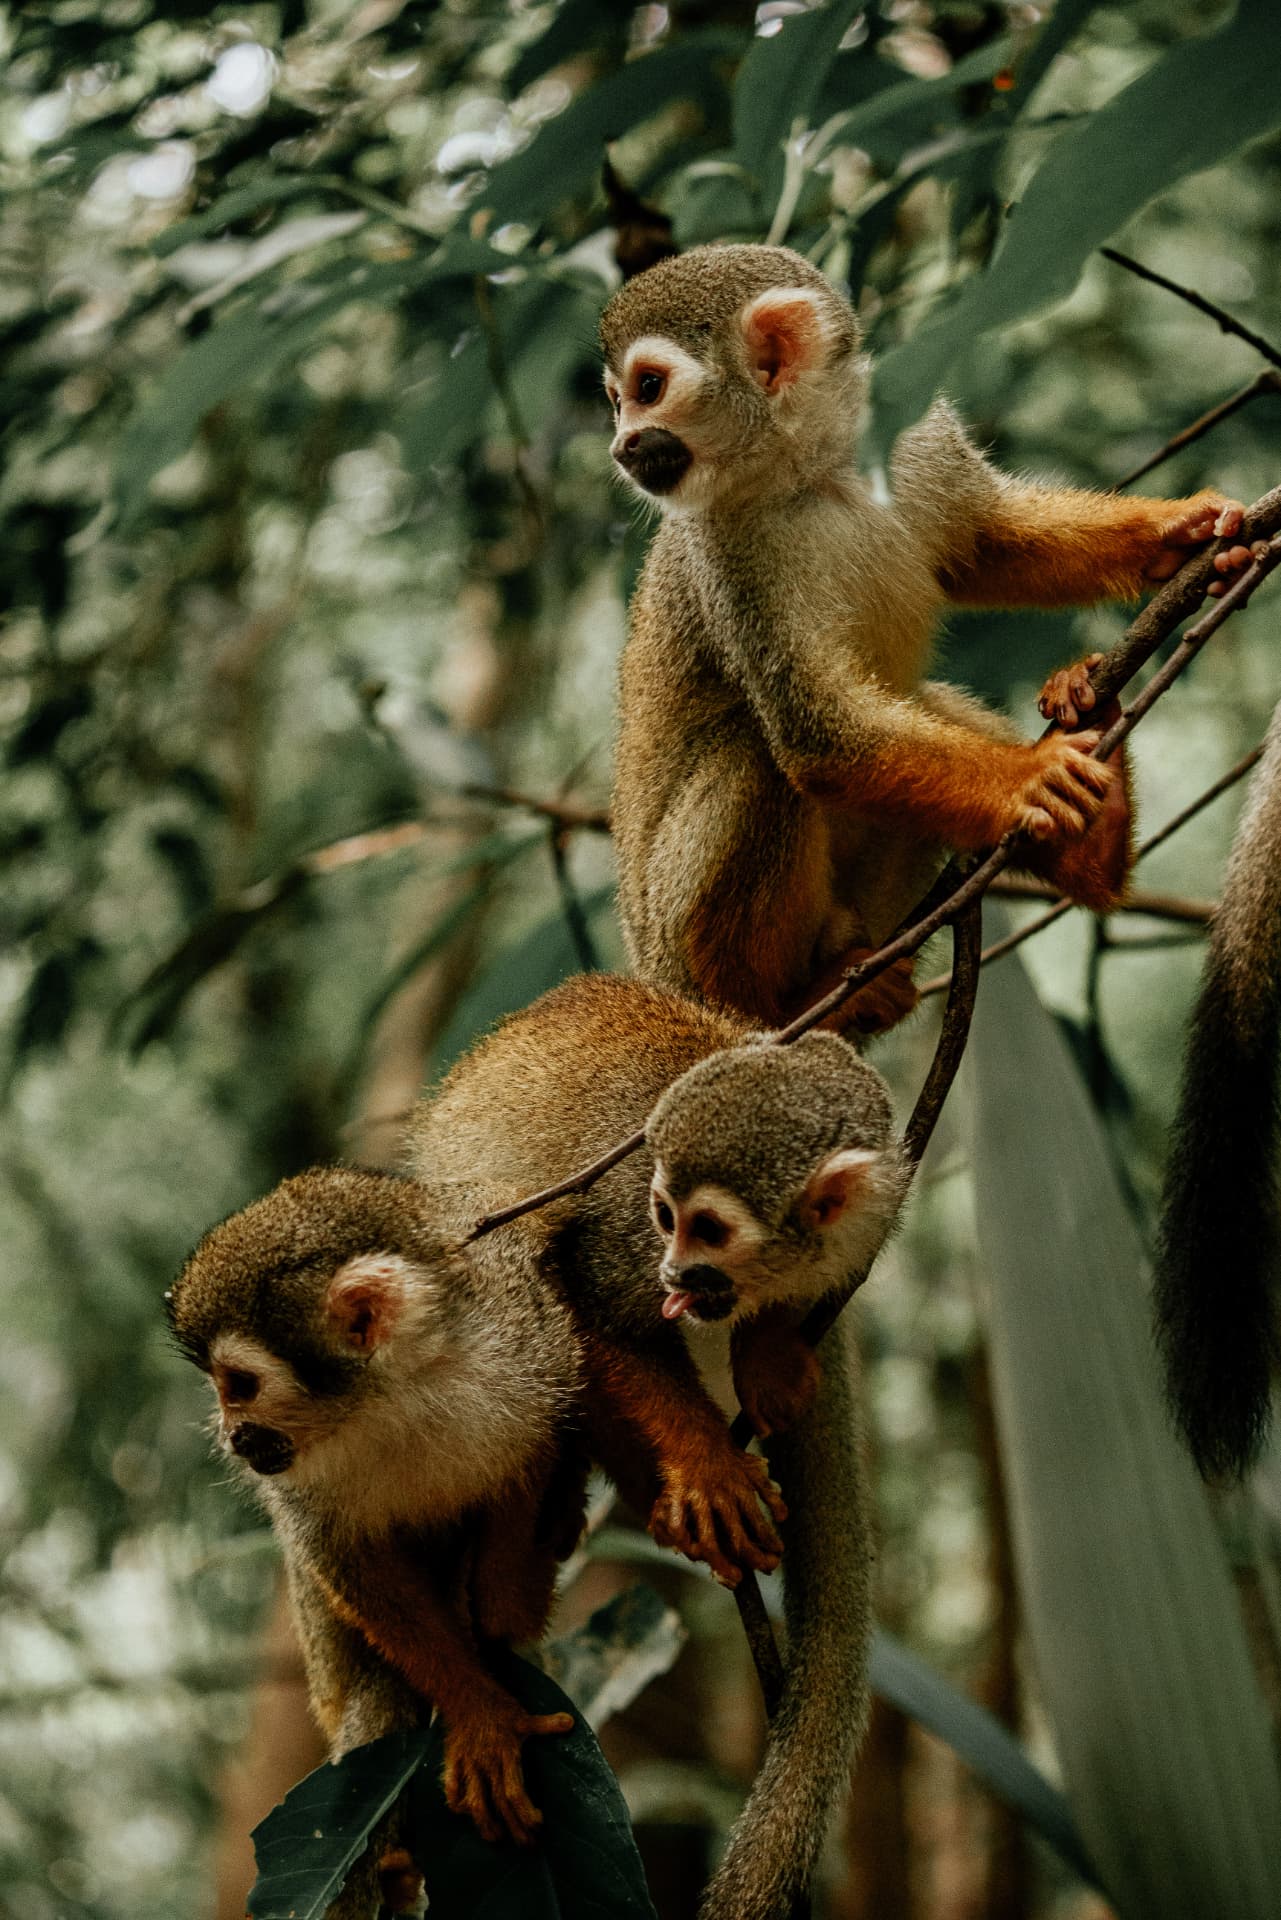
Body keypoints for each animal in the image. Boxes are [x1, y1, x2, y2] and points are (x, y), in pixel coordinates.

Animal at [412, 969, 911, 1920]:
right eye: (662, 1214)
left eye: (707, 1230)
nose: (676, 1273)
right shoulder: (620, 1221)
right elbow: (586, 1305)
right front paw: (708, 1469)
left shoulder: (864, 1233)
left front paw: (771, 1358)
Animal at [600, 243, 1256, 1033]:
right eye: (619, 399)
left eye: (648, 387)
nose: (622, 446)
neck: (814, 465)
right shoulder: (723, 551)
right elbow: (818, 732)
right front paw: (1024, 781)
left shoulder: (917, 436)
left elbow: (987, 545)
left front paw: (1181, 529)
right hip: (678, 944)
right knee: (754, 754)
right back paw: (779, 1006)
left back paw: (1089, 837)